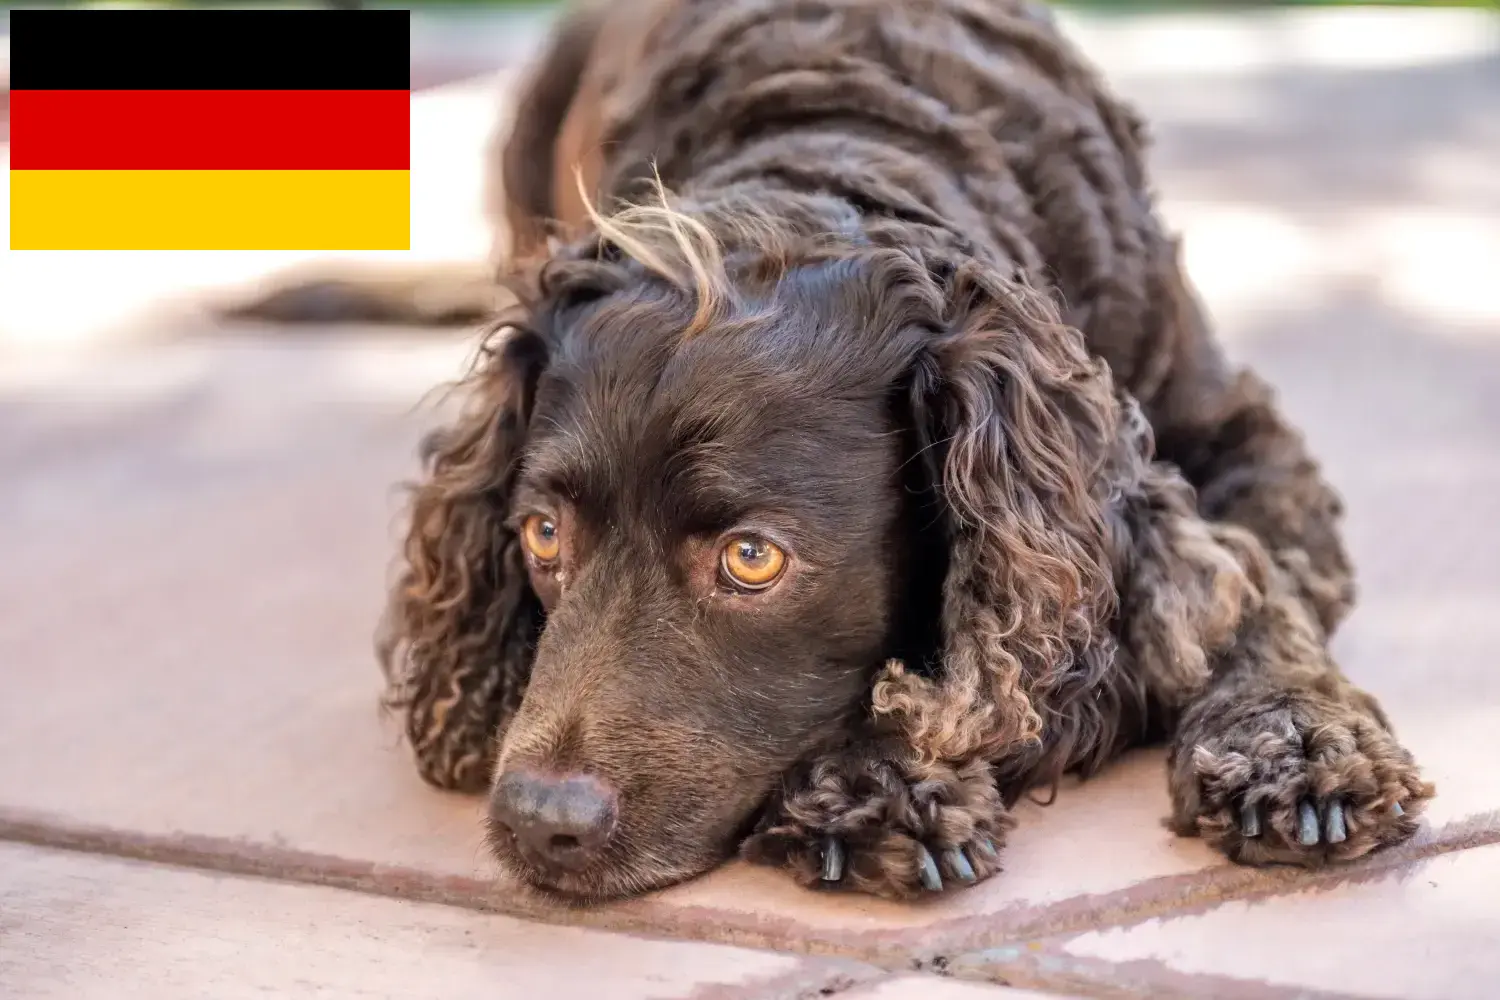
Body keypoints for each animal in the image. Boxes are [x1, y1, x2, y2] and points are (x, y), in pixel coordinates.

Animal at [354, 0, 1440, 905]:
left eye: (753, 558)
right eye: (543, 534)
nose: (541, 823)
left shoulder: (1242, 441)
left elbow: (1258, 591)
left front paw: (1293, 742)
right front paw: (877, 776)